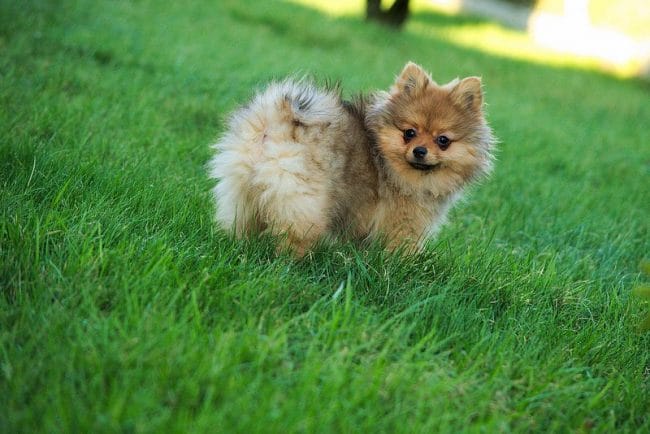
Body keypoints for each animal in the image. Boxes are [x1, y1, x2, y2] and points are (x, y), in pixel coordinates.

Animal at [208, 62, 495, 256]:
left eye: (443, 140)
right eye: (409, 133)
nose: (420, 151)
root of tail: (273, 122)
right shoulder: (404, 224)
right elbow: (400, 253)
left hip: (241, 191)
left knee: (240, 223)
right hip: (304, 202)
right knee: (295, 236)